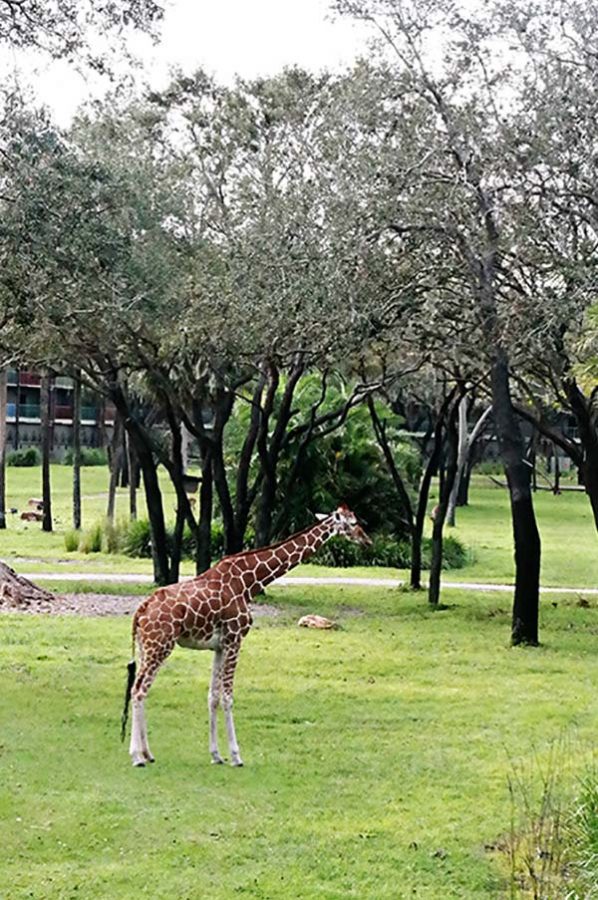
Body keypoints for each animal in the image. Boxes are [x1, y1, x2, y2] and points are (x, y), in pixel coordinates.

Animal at [121, 506, 370, 768]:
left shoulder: (219, 646)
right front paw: (236, 756)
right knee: (138, 690)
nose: (367, 541)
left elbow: (213, 696)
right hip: (160, 646)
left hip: (147, 647)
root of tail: (141, 610)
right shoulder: (235, 639)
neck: (249, 582)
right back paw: (137, 757)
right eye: (353, 523)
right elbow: (228, 697)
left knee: (141, 689)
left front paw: (216, 755)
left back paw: (148, 753)